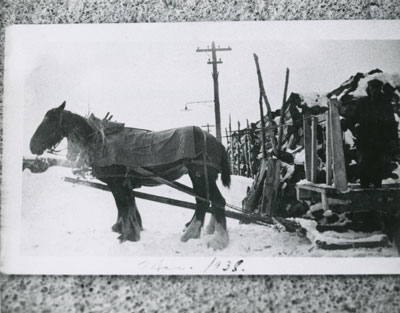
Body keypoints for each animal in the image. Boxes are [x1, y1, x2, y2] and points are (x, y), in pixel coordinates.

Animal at [28, 102, 231, 249]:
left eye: (49, 122)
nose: (32, 146)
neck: (100, 140)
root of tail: (214, 140)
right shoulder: (123, 184)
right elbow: (127, 206)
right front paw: (129, 230)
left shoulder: (117, 183)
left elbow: (124, 207)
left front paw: (127, 235)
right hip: (201, 177)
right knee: (205, 202)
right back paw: (197, 232)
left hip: (200, 174)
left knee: (214, 202)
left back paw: (216, 240)